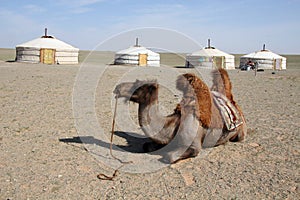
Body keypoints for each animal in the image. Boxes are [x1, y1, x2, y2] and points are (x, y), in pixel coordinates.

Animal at [113, 68, 246, 162]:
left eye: (138, 85)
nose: (117, 87)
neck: (175, 123)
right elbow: (146, 146)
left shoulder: (194, 145)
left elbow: (169, 156)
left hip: (241, 133)